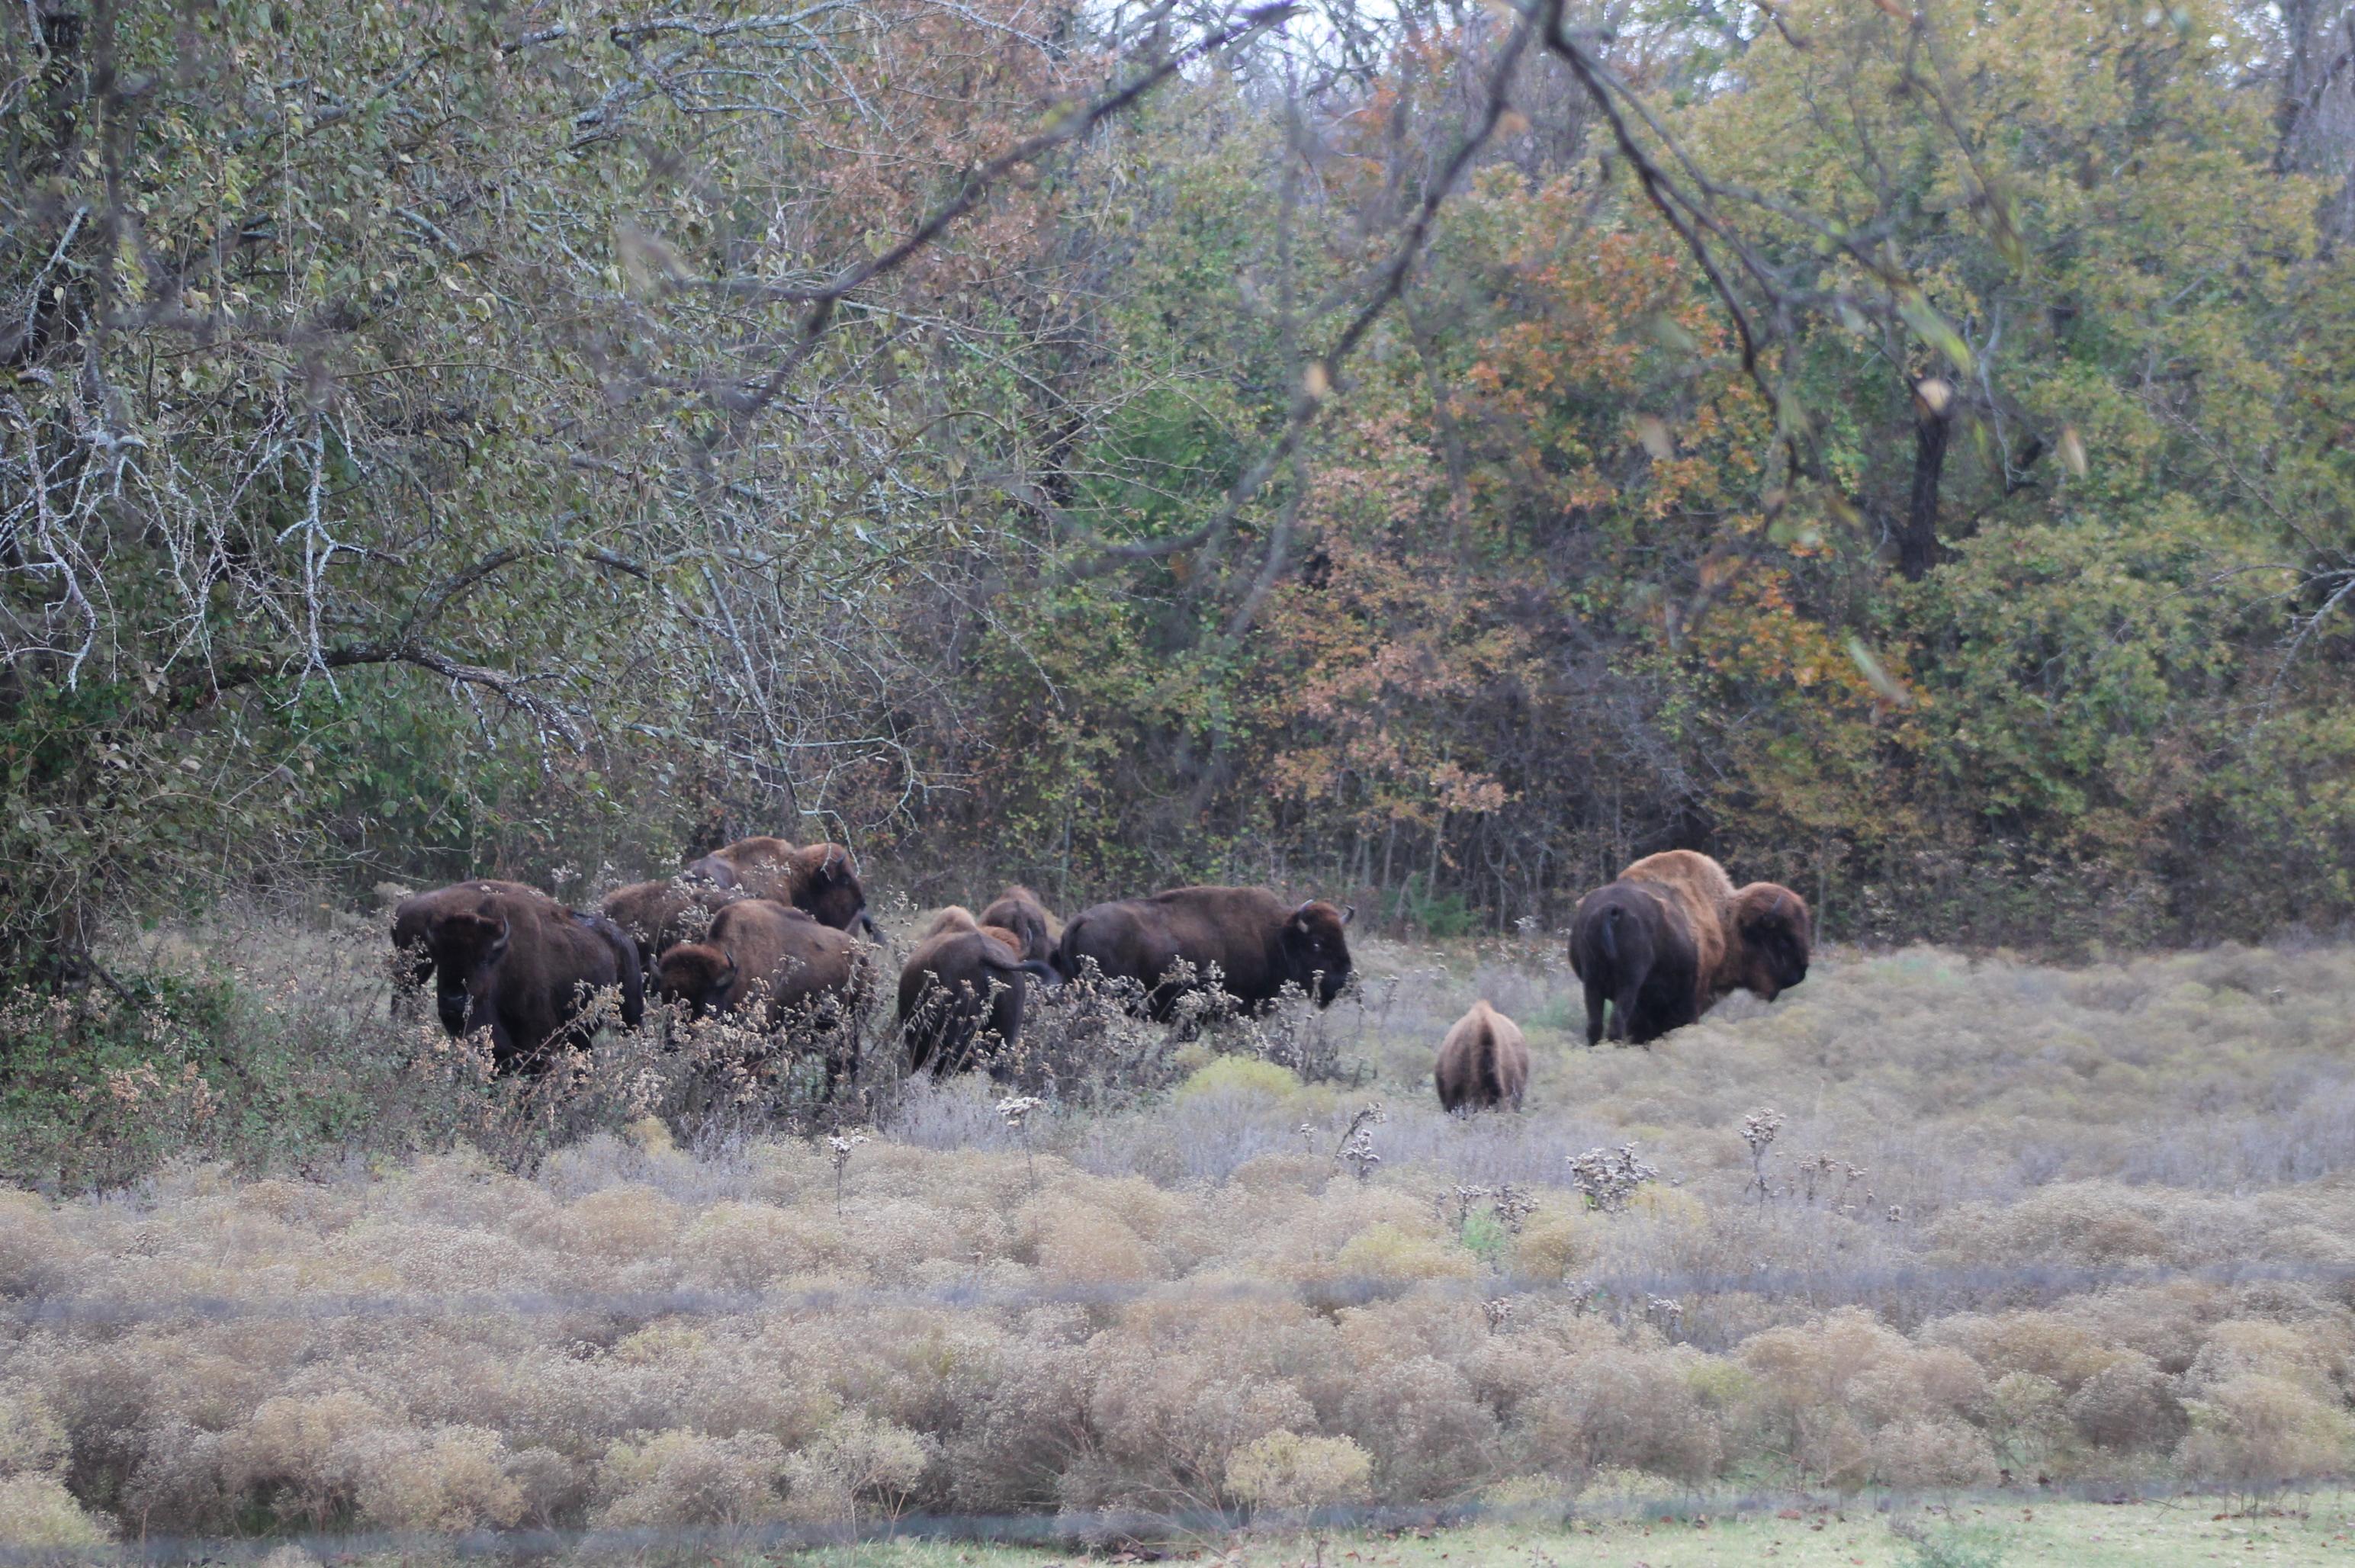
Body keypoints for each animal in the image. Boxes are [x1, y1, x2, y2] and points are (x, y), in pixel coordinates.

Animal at [397, 885, 645, 1068]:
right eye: (441, 957)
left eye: (483, 960)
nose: (453, 1001)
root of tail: (625, 940)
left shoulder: (536, 1042)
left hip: (630, 1015)